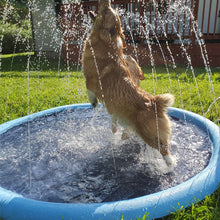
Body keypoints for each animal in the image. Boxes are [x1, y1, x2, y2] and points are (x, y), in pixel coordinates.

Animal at [81, 0, 174, 165]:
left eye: (106, 11)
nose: (107, 1)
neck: (106, 42)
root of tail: (155, 103)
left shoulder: (90, 80)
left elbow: (89, 91)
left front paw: (93, 103)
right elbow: (113, 118)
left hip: (149, 134)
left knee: (164, 149)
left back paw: (169, 164)